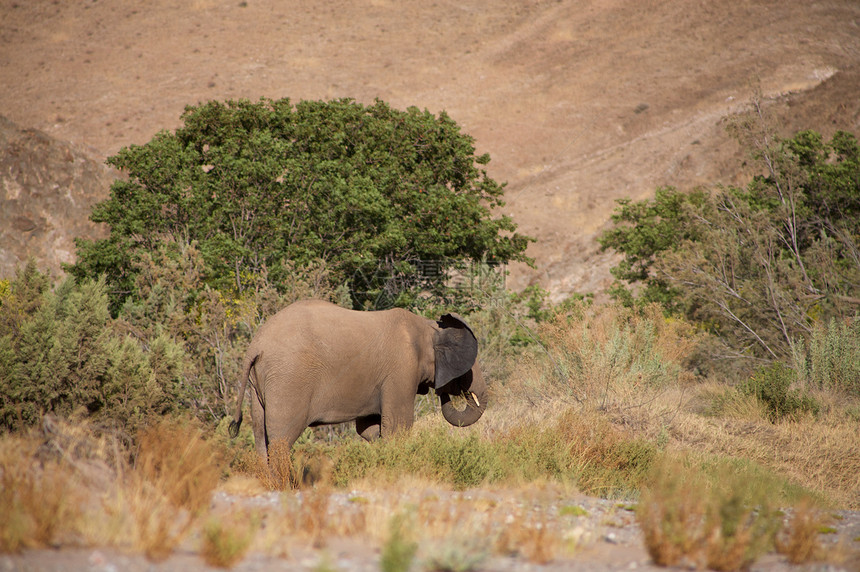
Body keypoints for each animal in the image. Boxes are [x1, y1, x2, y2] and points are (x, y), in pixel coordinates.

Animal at [225, 298, 488, 458]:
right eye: (468, 370)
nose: (444, 391)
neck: (426, 327)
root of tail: (256, 345)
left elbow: (369, 429)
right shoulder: (401, 369)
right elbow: (398, 426)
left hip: (259, 385)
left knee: (261, 440)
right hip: (288, 380)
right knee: (281, 440)